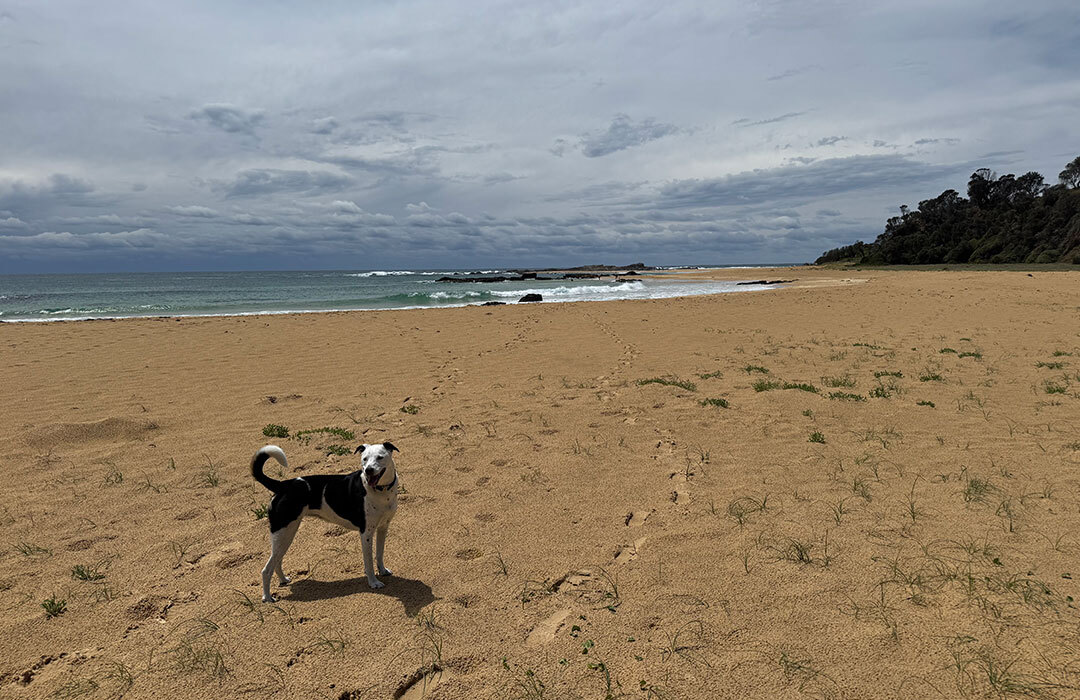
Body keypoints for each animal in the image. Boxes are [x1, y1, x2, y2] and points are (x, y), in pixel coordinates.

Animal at [250, 442, 399, 600]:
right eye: (364, 459)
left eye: (380, 457)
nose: (368, 470)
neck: (381, 491)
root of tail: (282, 485)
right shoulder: (366, 534)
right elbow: (369, 561)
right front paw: (373, 583)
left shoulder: (383, 527)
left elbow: (379, 553)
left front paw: (382, 571)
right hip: (283, 532)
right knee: (266, 569)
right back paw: (267, 598)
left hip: (286, 535)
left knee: (277, 560)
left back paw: (283, 580)